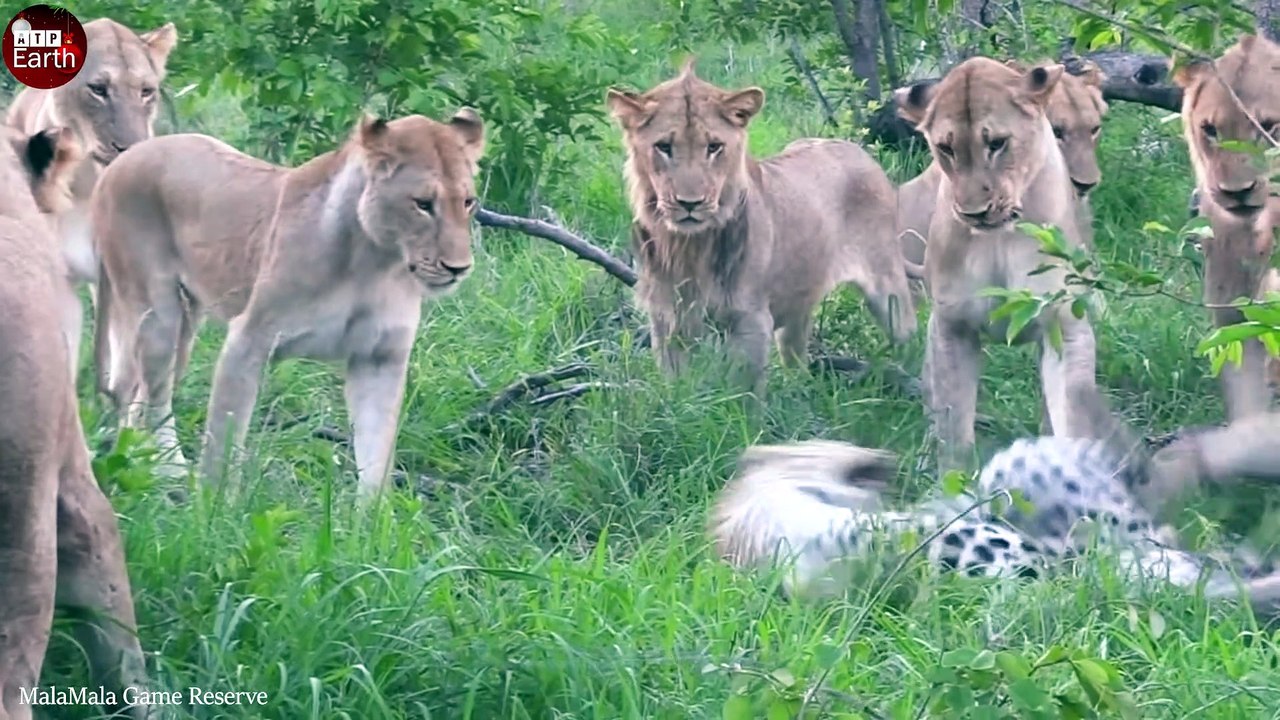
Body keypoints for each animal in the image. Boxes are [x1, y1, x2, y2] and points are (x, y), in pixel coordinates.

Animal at [91, 109, 485, 500]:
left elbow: (377, 457)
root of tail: (126, 157)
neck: (374, 264)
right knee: (151, 395)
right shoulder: (248, 340)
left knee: (142, 395)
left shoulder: (379, 358)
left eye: (468, 202)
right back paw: (168, 471)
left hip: (187, 323)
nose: (459, 268)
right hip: (156, 314)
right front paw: (215, 509)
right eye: (423, 204)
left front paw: (371, 517)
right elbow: (224, 442)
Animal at [607, 59, 917, 398]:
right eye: (663, 146)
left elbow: (745, 394)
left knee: (911, 336)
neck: (689, 247)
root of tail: (858, 150)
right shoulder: (667, 320)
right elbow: (677, 388)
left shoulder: (751, 320)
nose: (690, 203)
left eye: (714, 147)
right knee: (796, 354)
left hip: (888, 289)